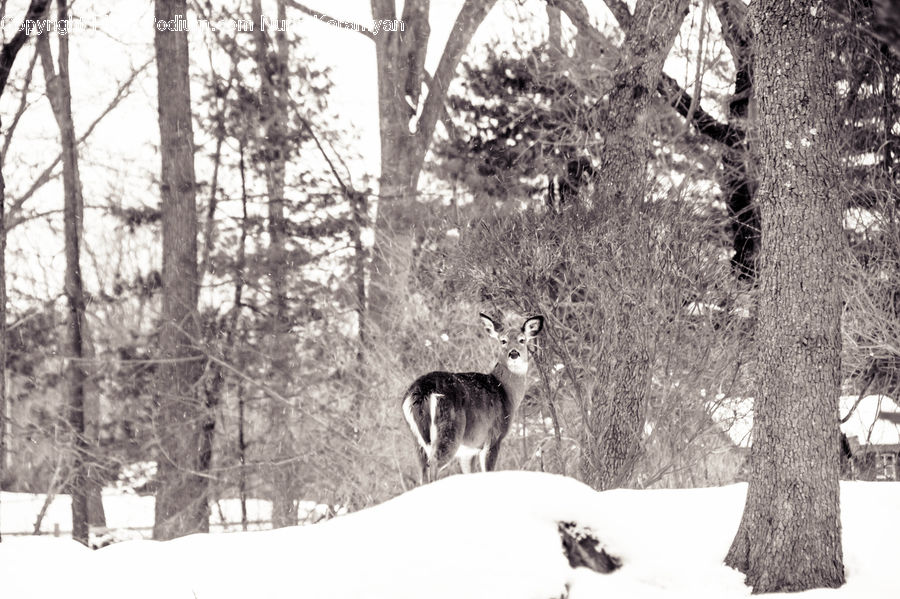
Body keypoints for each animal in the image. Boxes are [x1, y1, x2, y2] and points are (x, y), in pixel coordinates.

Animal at [401, 313, 545, 483]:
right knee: (434, 463)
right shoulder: (493, 437)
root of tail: (423, 391)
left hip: (416, 439)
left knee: (422, 470)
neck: (505, 391)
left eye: (522, 340)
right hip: (450, 428)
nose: (514, 353)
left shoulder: (468, 451)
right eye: (503, 340)